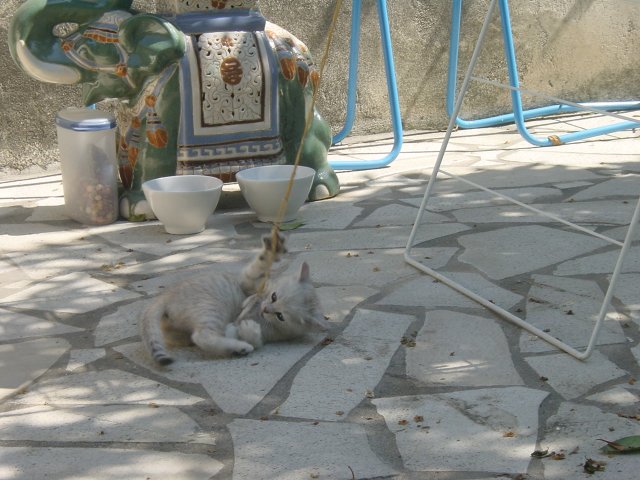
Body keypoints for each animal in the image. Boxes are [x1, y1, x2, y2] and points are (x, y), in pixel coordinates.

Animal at [141, 234, 330, 366]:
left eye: (280, 316)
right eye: (274, 296)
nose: (265, 309)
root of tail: (166, 296)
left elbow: (253, 338)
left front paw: (249, 330)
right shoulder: (248, 282)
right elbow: (260, 266)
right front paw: (272, 249)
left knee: (200, 336)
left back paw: (239, 348)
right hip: (212, 307)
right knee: (200, 336)